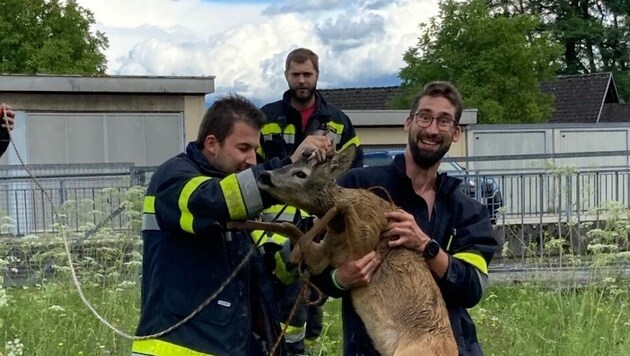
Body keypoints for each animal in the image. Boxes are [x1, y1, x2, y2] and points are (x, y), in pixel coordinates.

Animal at [230, 145, 456, 356]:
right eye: (288, 164)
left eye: (301, 173)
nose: (263, 175)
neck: (339, 231)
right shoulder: (325, 255)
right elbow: (289, 227)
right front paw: (235, 223)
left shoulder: (366, 245)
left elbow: (342, 204)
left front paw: (295, 254)